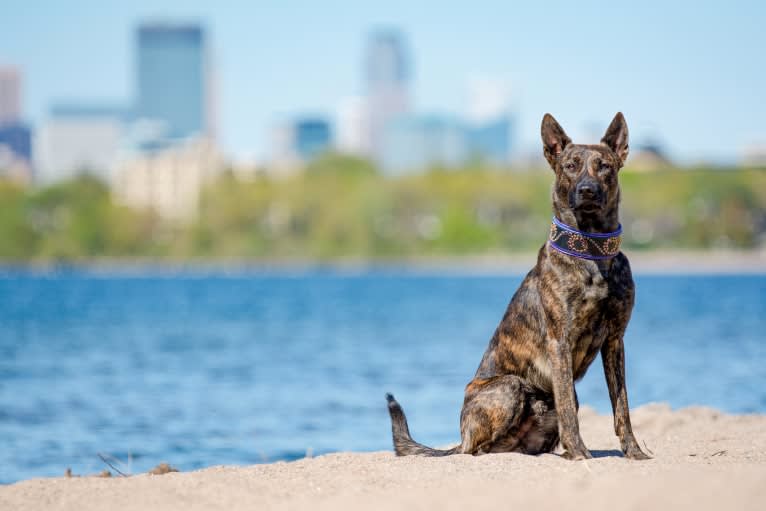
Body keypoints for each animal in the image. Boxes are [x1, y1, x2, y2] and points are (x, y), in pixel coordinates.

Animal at [388, 113, 652, 464]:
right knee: (474, 450)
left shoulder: (615, 341)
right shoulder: (560, 342)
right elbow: (569, 411)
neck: (592, 250)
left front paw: (633, 451)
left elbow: (622, 408)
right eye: (570, 166)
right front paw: (580, 453)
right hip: (510, 387)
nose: (587, 191)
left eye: (604, 166)